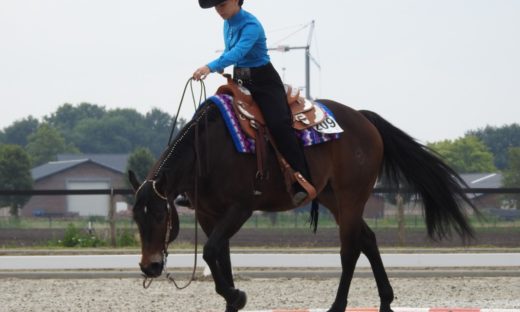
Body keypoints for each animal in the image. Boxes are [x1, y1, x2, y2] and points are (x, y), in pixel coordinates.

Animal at [127, 97, 476, 312]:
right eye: (136, 219)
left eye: (159, 216)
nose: (150, 266)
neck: (207, 151)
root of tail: (363, 119)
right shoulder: (207, 214)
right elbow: (220, 257)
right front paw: (231, 301)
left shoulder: (240, 209)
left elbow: (211, 251)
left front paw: (237, 296)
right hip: (331, 197)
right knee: (368, 239)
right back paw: (386, 301)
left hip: (351, 196)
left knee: (350, 249)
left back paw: (338, 306)